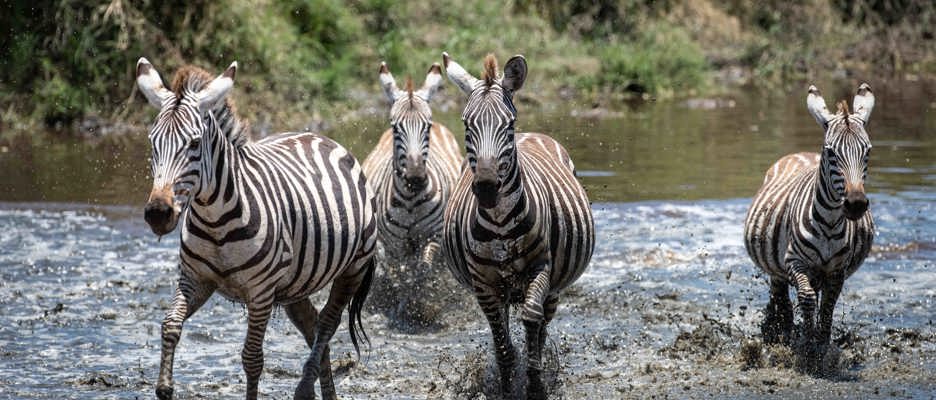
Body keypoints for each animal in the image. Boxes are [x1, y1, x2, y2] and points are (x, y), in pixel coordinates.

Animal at [135, 58, 377, 400]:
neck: (215, 221)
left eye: (194, 144)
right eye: (152, 143)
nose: (158, 214)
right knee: (316, 329)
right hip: (294, 285)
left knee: (328, 325)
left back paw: (304, 387)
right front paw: (165, 387)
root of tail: (318, 137)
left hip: (352, 268)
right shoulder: (196, 279)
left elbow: (252, 358)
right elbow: (169, 325)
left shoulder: (260, 292)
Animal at [360, 61, 462, 327]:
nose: (416, 179)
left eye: (427, 126)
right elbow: (399, 274)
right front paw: (402, 307)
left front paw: (418, 306)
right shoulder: (393, 243)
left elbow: (422, 271)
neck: (410, 201)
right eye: (395, 127)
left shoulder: (432, 236)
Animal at [440, 52, 595, 399]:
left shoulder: (540, 268)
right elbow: (503, 346)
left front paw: (535, 384)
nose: (486, 188)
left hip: (553, 285)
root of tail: (533, 133)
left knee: (541, 325)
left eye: (507, 124)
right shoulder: (483, 284)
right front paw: (506, 386)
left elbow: (532, 322)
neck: (499, 223)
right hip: (502, 287)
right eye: (466, 124)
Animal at [743, 83, 875, 362]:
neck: (830, 224)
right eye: (831, 152)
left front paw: (821, 345)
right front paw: (807, 343)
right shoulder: (795, 262)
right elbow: (807, 299)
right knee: (781, 298)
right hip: (777, 268)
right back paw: (778, 330)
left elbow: (827, 307)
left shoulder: (837, 271)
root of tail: (801, 153)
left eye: (867, 150)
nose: (856, 204)